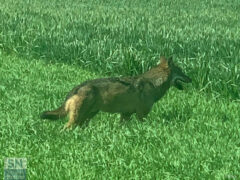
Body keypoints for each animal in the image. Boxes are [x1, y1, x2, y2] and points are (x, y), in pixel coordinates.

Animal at [40, 56, 191, 129]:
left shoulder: (126, 115)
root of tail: (77, 87)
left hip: (86, 118)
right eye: (181, 71)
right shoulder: (141, 115)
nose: (191, 79)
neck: (153, 83)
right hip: (78, 119)